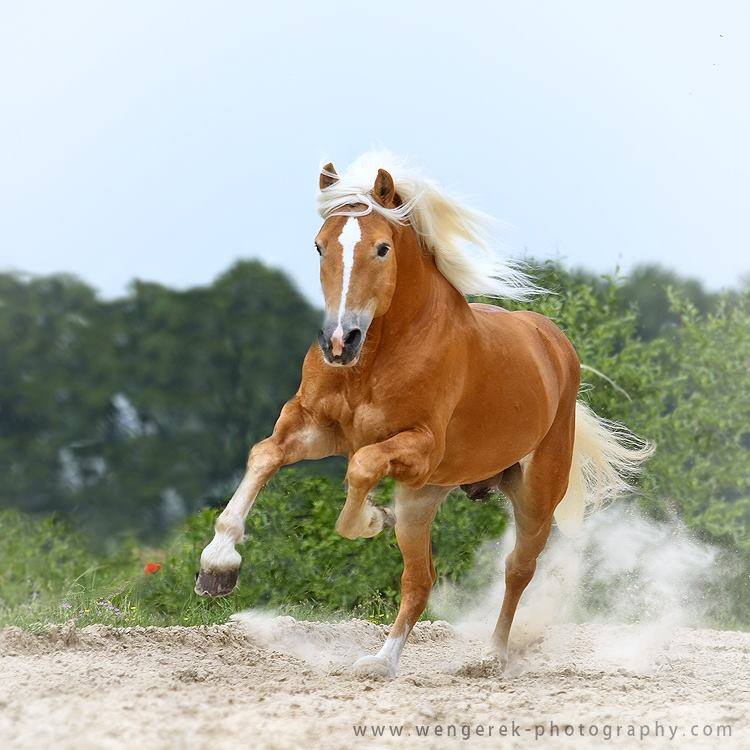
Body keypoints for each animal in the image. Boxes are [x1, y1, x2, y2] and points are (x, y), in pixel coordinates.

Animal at [194, 153, 652, 680]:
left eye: (382, 248)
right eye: (319, 245)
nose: (338, 341)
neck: (376, 357)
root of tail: (554, 345)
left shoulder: (419, 448)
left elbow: (361, 468)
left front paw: (372, 519)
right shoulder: (316, 426)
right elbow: (264, 455)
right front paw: (217, 566)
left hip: (533, 494)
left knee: (517, 570)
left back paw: (491, 656)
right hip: (425, 497)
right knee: (420, 581)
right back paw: (381, 660)